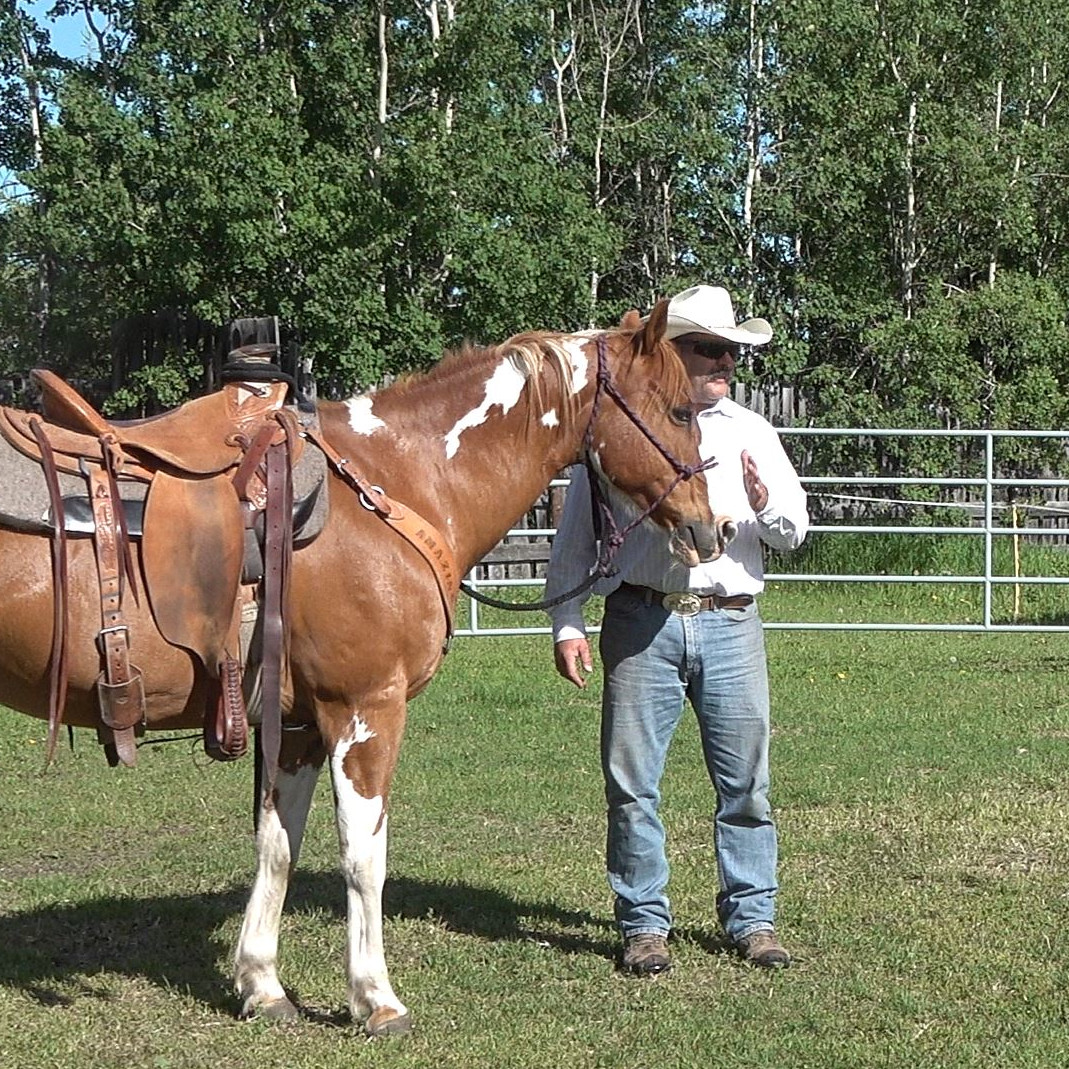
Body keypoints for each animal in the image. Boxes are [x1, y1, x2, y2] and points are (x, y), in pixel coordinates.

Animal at [0, 303, 735, 1034]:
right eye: (679, 410)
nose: (715, 528)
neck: (394, 482)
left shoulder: (295, 725)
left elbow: (277, 846)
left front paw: (262, 985)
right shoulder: (365, 711)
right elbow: (363, 859)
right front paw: (374, 997)